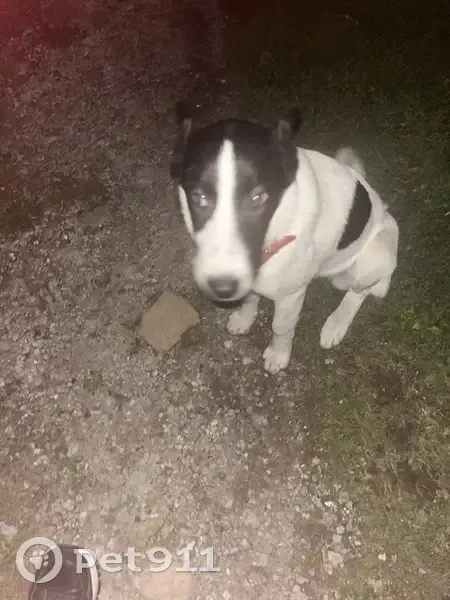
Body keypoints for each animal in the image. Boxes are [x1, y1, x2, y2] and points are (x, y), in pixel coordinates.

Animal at [170, 104, 399, 374]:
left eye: (258, 197)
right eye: (199, 197)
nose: (222, 288)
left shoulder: (291, 294)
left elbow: (281, 327)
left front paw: (279, 354)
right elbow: (250, 298)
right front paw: (245, 317)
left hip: (373, 255)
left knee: (359, 292)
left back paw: (336, 323)